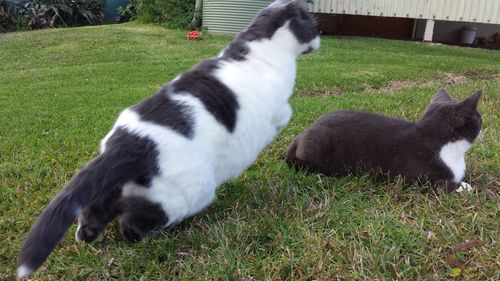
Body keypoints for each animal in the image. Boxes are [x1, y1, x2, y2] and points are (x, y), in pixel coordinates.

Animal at [18, 0, 320, 276]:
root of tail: (128, 144)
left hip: (117, 187)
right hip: (187, 192)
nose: (320, 38)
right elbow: (286, 114)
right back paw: (150, 235)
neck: (257, 47)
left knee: (96, 208)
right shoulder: (278, 106)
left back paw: (86, 235)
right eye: (314, 25)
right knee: (133, 223)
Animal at [288, 89, 482, 192]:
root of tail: (303, 134)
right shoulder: (413, 179)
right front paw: (464, 187)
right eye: (479, 117)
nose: (483, 119)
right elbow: (444, 184)